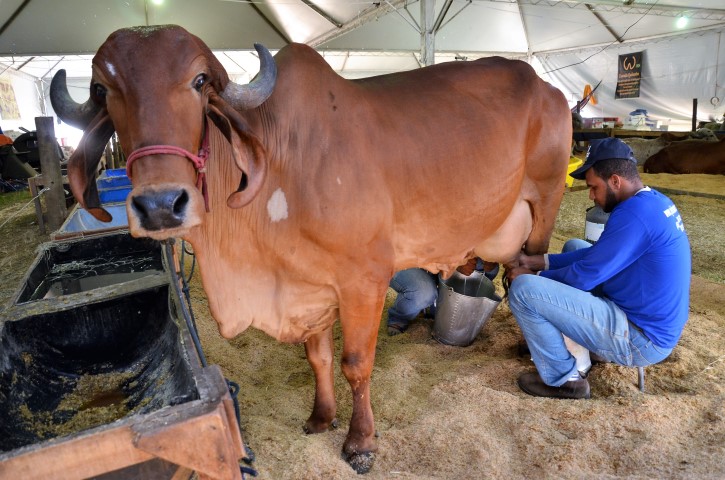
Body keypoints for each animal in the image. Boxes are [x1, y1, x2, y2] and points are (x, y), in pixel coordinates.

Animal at [49, 25, 572, 472]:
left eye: (199, 81)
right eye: (101, 89)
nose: (160, 204)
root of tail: (545, 87)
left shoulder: (364, 279)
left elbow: (356, 365)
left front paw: (361, 442)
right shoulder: (307, 285)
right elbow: (318, 357)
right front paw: (321, 417)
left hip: (544, 204)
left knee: (528, 272)